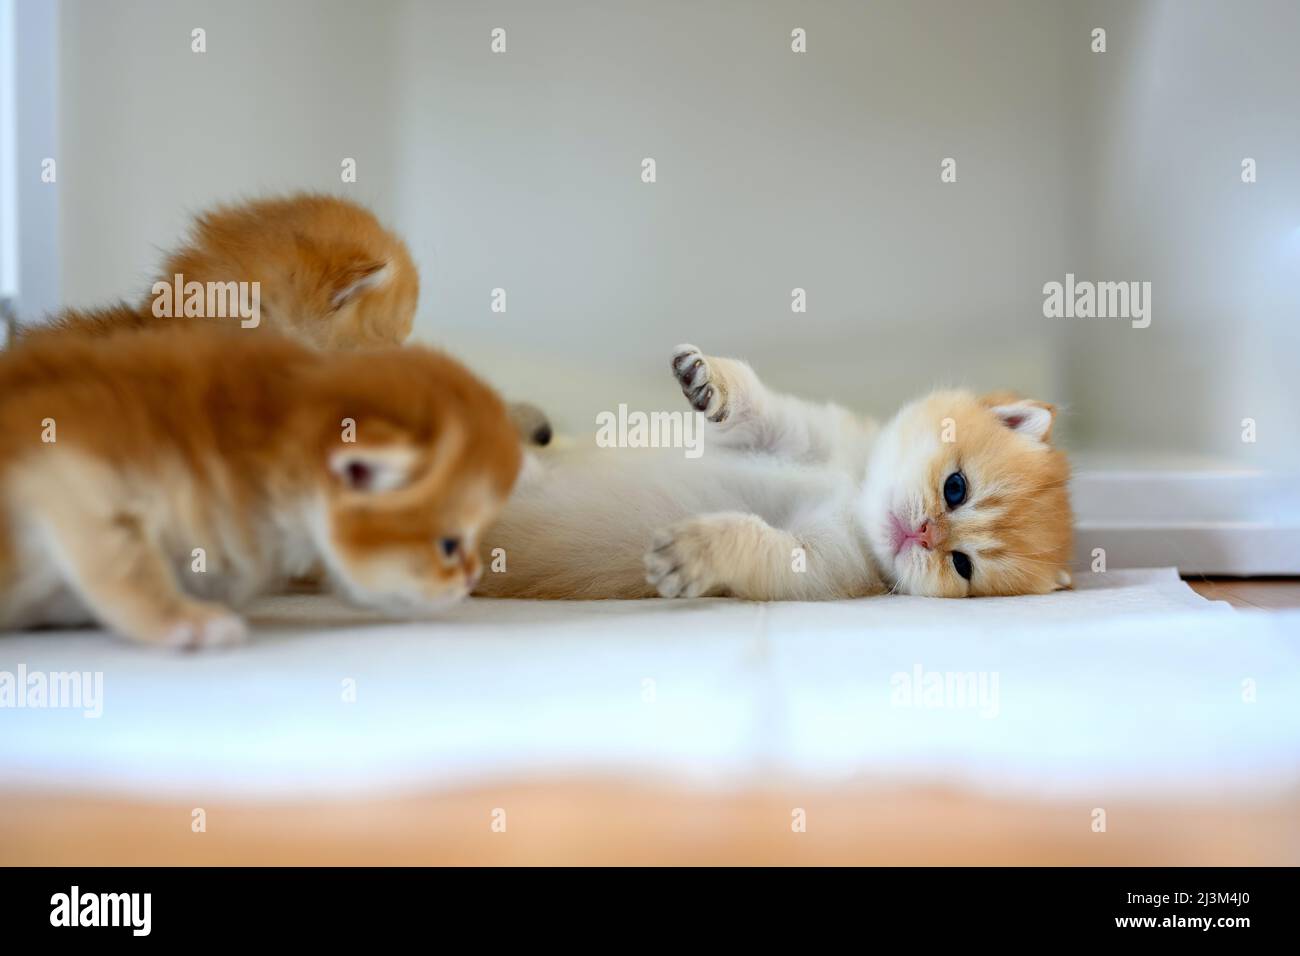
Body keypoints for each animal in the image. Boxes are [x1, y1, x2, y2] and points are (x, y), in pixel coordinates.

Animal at [473, 343, 1071, 598]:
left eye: (962, 564)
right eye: (956, 488)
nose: (924, 533)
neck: (852, 488)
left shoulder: (819, 562)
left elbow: (758, 542)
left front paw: (700, 551)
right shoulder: (796, 433)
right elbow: (754, 407)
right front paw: (709, 381)